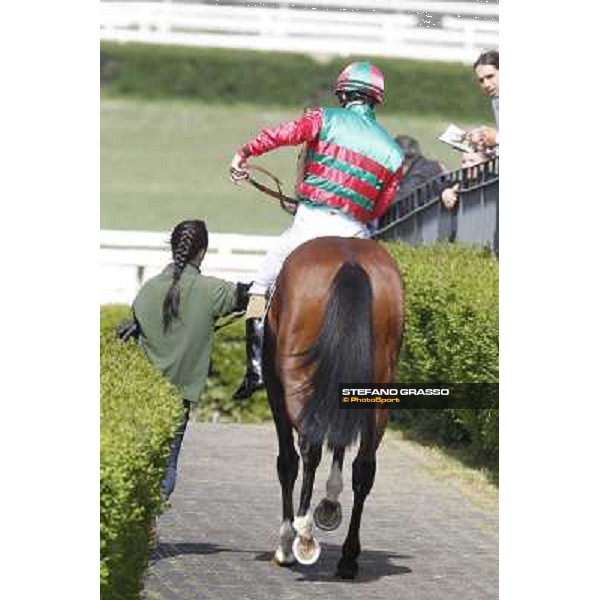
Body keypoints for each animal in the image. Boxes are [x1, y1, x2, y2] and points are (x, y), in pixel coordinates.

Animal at [262, 237, 406, 580]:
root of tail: (350, 260)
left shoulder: (276, 389)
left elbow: (287, 462)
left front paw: (287, 544)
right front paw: (329, 505)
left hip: (297, 381)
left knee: (309, 448)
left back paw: (301, 537)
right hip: (379, 393)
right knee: (365, 467)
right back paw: (348, 557)